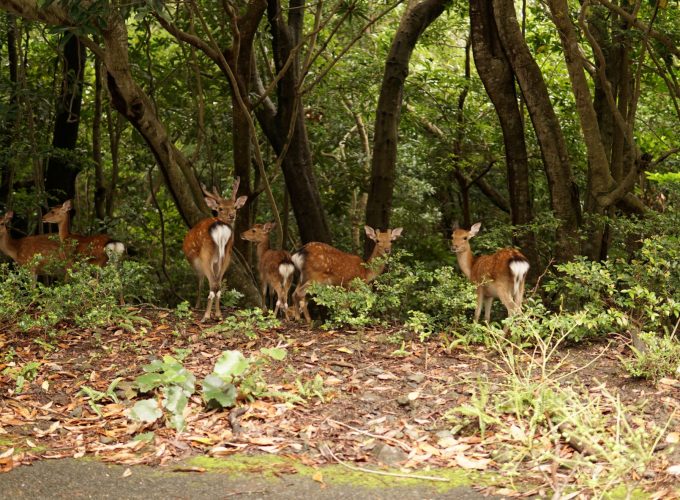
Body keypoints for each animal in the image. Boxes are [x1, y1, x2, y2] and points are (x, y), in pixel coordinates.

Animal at [183, 178, 247, 322]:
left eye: (235, 207)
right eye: (221, 208)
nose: (232, 215)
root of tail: (221, 229)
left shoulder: (198, 263)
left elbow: (201, 283)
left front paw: (197, 306)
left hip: (206, 254)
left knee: (212, 284)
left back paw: (206, 316)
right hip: (227, 255)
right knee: (218, 284)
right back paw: (218, 315)